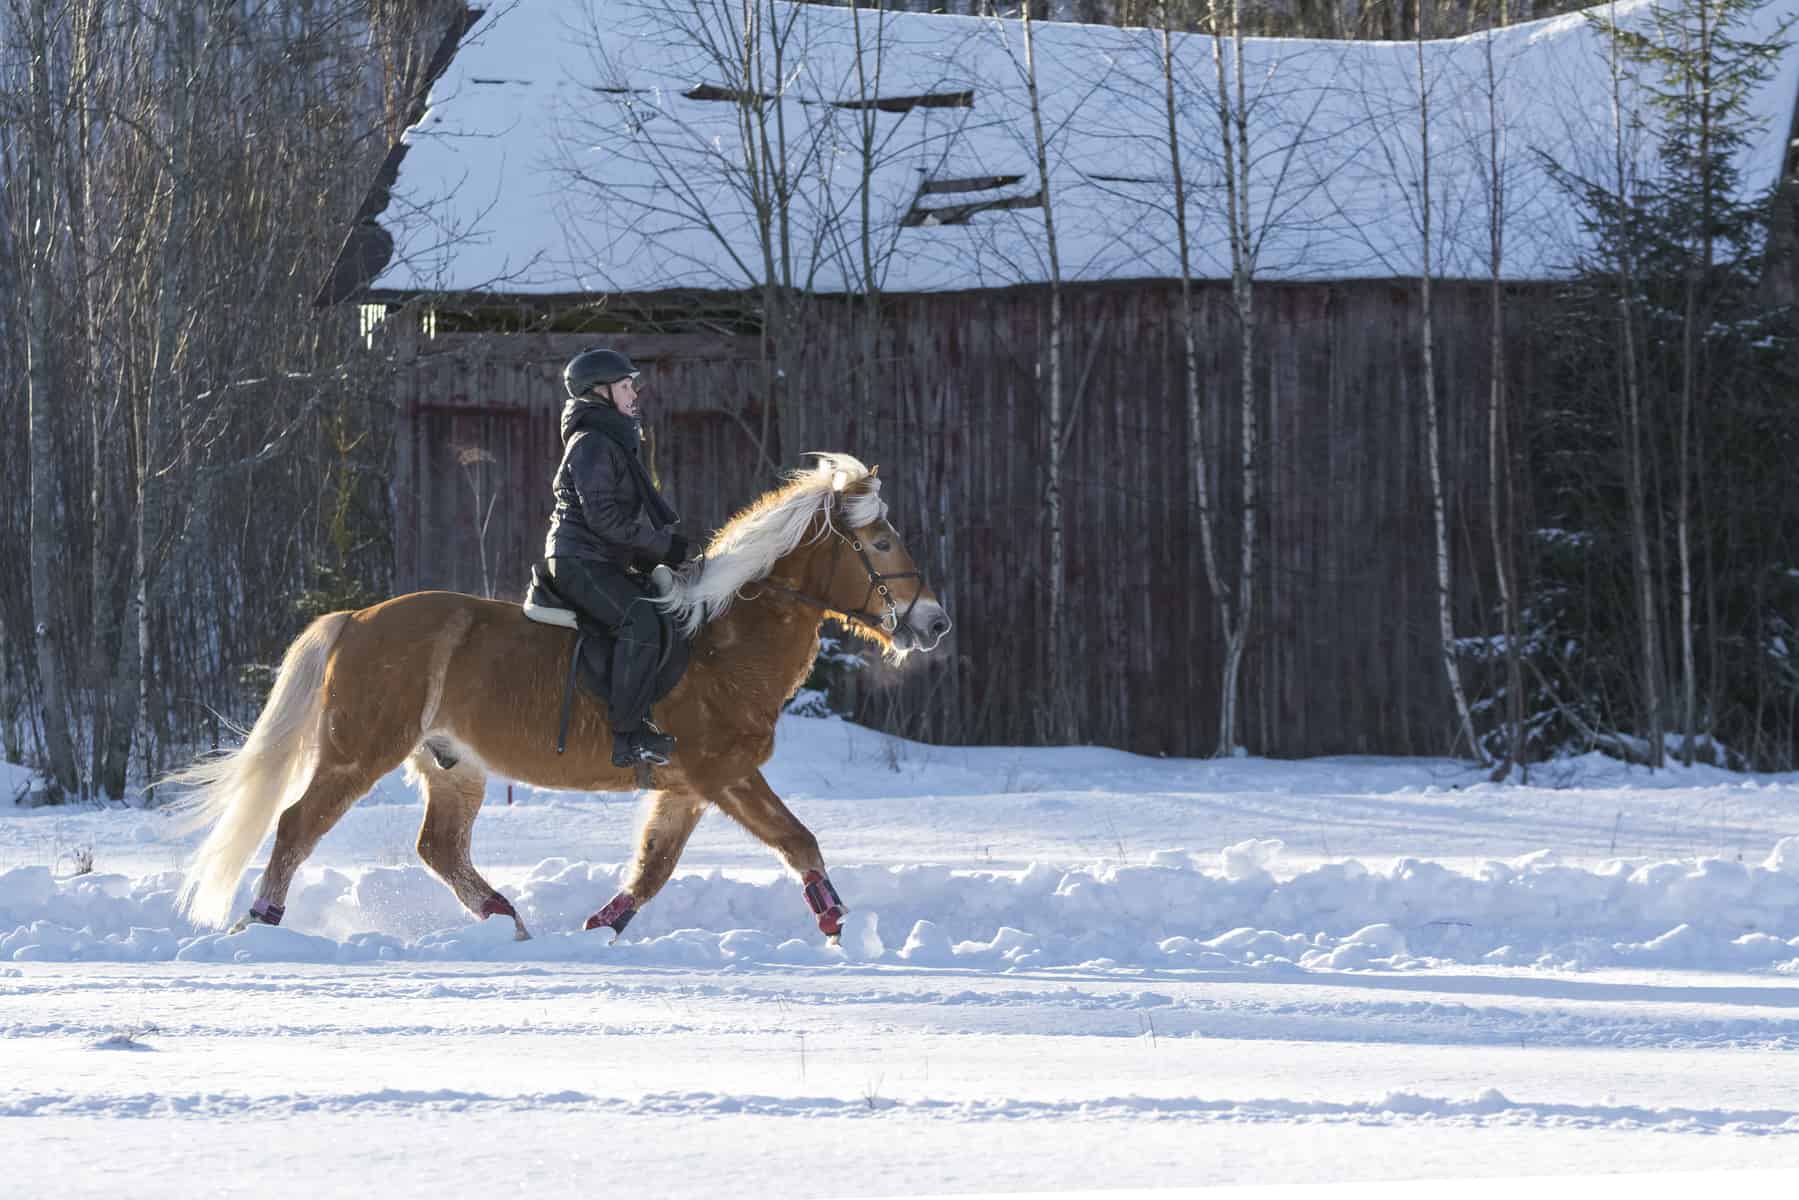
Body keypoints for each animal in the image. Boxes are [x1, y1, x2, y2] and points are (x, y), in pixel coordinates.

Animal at [171, 455, 957, 942]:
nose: (934, 623)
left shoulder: (686, 788)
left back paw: (507, 921)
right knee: (297, 824)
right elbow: (797, 838)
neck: (722, 642)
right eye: (879, 542)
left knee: (439, 848)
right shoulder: (723, 773)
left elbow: (652, 870)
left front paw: (598, 929)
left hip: (455, 766)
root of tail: (358, 619)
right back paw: (261, 921)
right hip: (357, 752)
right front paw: (832, 922)